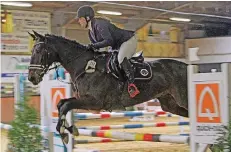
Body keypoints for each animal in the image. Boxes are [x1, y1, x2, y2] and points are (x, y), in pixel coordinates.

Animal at [28, 30, 189, 144]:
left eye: (39, 51)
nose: (32, 78)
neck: (85, 66)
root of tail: (187, 66)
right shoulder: (85, 99)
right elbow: (61, 104)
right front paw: (66, 128)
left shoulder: (95, 102)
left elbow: (66, 105)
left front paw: (66, 131)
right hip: (170, 103)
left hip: (182, 99)